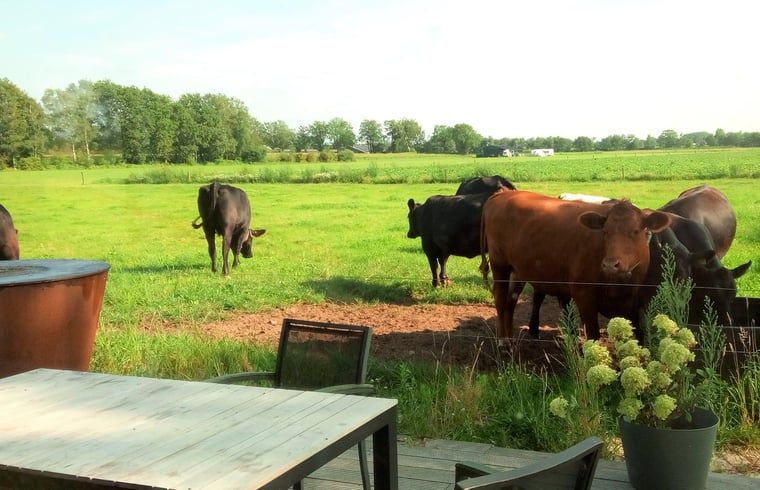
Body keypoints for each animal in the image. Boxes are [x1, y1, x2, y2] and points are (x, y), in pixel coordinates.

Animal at [480, 190, 670, 340]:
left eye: (636, 231)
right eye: (605, 232)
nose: (610, 264)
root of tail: (502, 194)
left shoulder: (634, 306)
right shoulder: (583, 295)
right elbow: (593, 336)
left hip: (518, 270)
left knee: (511, 300)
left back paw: (511, 338)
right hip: (499, 264)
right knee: (500, 298)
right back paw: (503, 341)